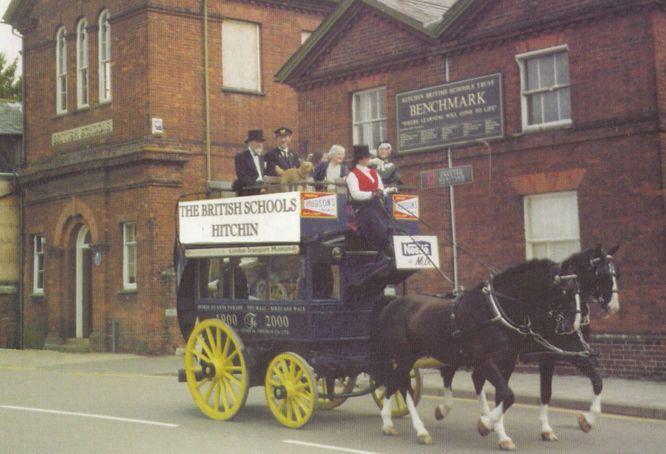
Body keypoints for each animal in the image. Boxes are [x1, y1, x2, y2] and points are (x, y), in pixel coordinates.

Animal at [366, 258, 580, 446]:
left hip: (409, 358)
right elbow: (508, 395)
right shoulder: (485, 361)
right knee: (403, 387)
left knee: (394, 382)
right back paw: (416, 430)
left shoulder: (507, 363)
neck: (494, 311)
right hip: (404, 357)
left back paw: (391, 423)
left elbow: (502, 396)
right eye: (565, 292)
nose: (573, 327)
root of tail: (390, 306)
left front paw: (500, 434)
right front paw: (486, 425)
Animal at [436, 245, 616, 446]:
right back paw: (448, 410)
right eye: (602, 275)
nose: (614, 306)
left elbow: (587, 382)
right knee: (449, 373)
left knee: (475, 378)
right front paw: (499, 430)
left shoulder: (565, 352)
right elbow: (509, 394)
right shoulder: (550, 354)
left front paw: (579, 422)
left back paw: (484, 415)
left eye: (615, 274)